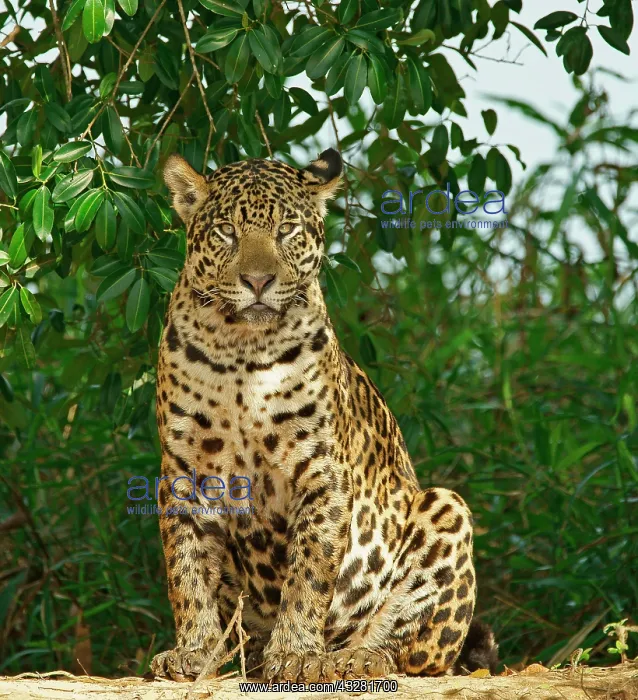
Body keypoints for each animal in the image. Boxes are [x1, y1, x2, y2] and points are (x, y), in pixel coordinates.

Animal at [150, 148, 498, 684]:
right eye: (227, 231)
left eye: (287, 230)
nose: (257, 281)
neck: (241, 351)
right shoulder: (186, 472)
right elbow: (187, 569)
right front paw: (195, 649)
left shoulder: (321, 470)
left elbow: (310, 572)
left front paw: (295, 653)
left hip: (446, 509)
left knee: (417, 653)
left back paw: (355, 655)